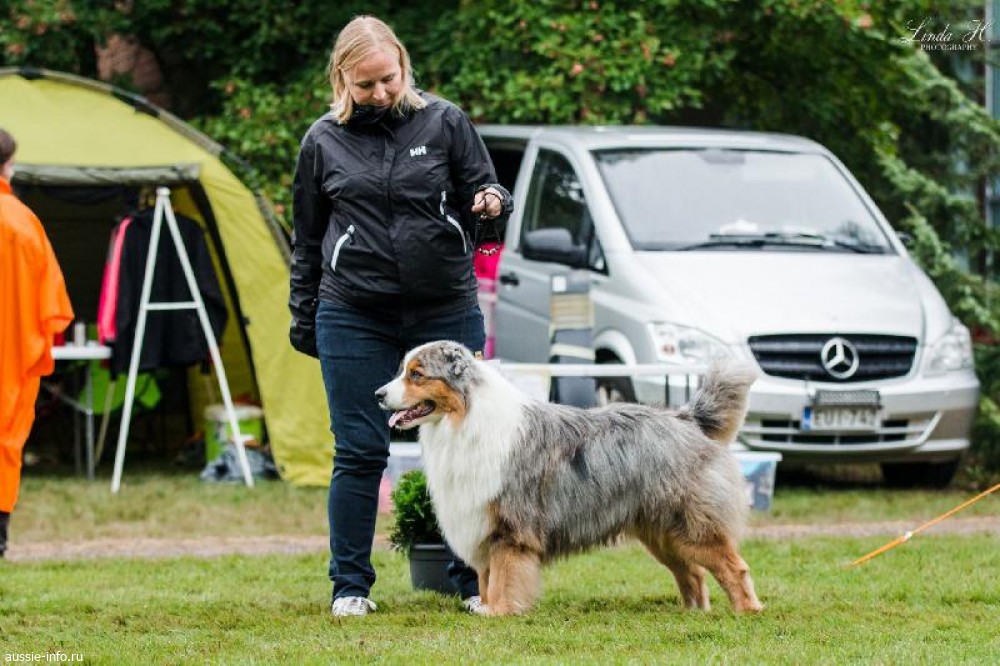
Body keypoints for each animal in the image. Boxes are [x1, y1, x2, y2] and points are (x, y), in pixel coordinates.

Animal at [376, 340, 763, 616]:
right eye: (402, 371)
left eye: (417, 374)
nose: (378, 394)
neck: (465, 420)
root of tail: (685, 418)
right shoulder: (483, 523)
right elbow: (486, 579)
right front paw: (485, 607)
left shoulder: (509, 529)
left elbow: (503, 577)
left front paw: (499, 612)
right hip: (662, 531)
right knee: (692, 573)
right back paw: (693, 614)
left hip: (690, 524)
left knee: (733, 567)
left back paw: (746, 612)